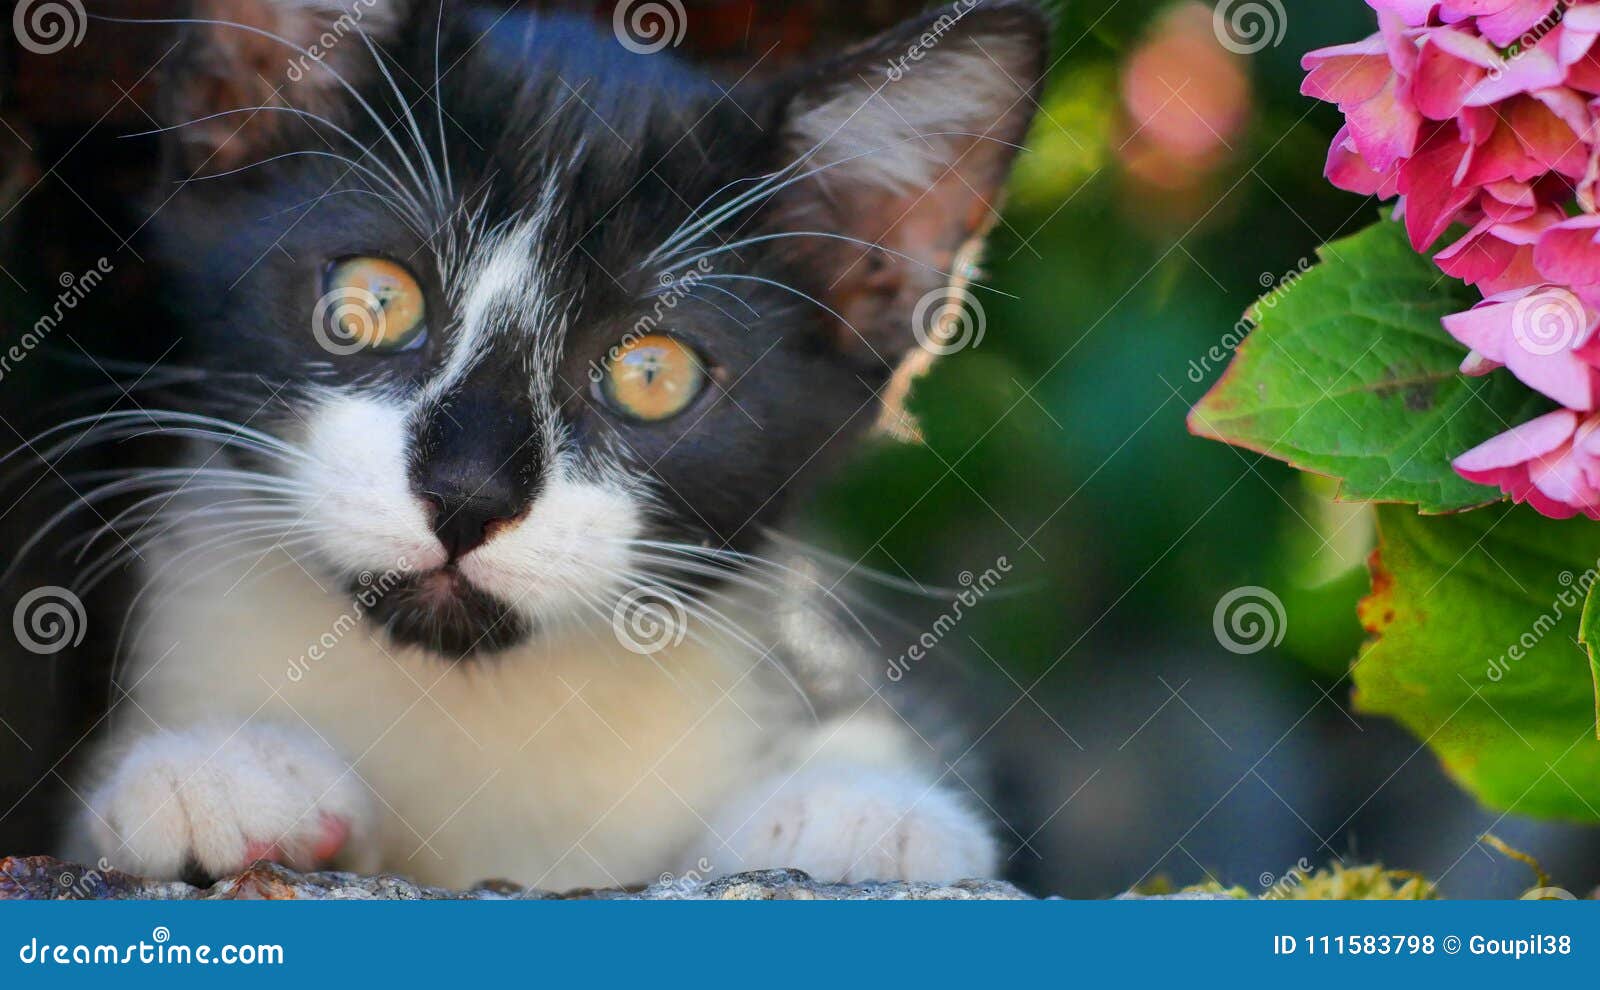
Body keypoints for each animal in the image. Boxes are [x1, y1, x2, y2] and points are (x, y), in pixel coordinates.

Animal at [56, 0, 1043, 895]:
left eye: (652, 371)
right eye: (374, 300)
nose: (469, 492)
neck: (471, 699)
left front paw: (858, 802)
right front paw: (218, 766)